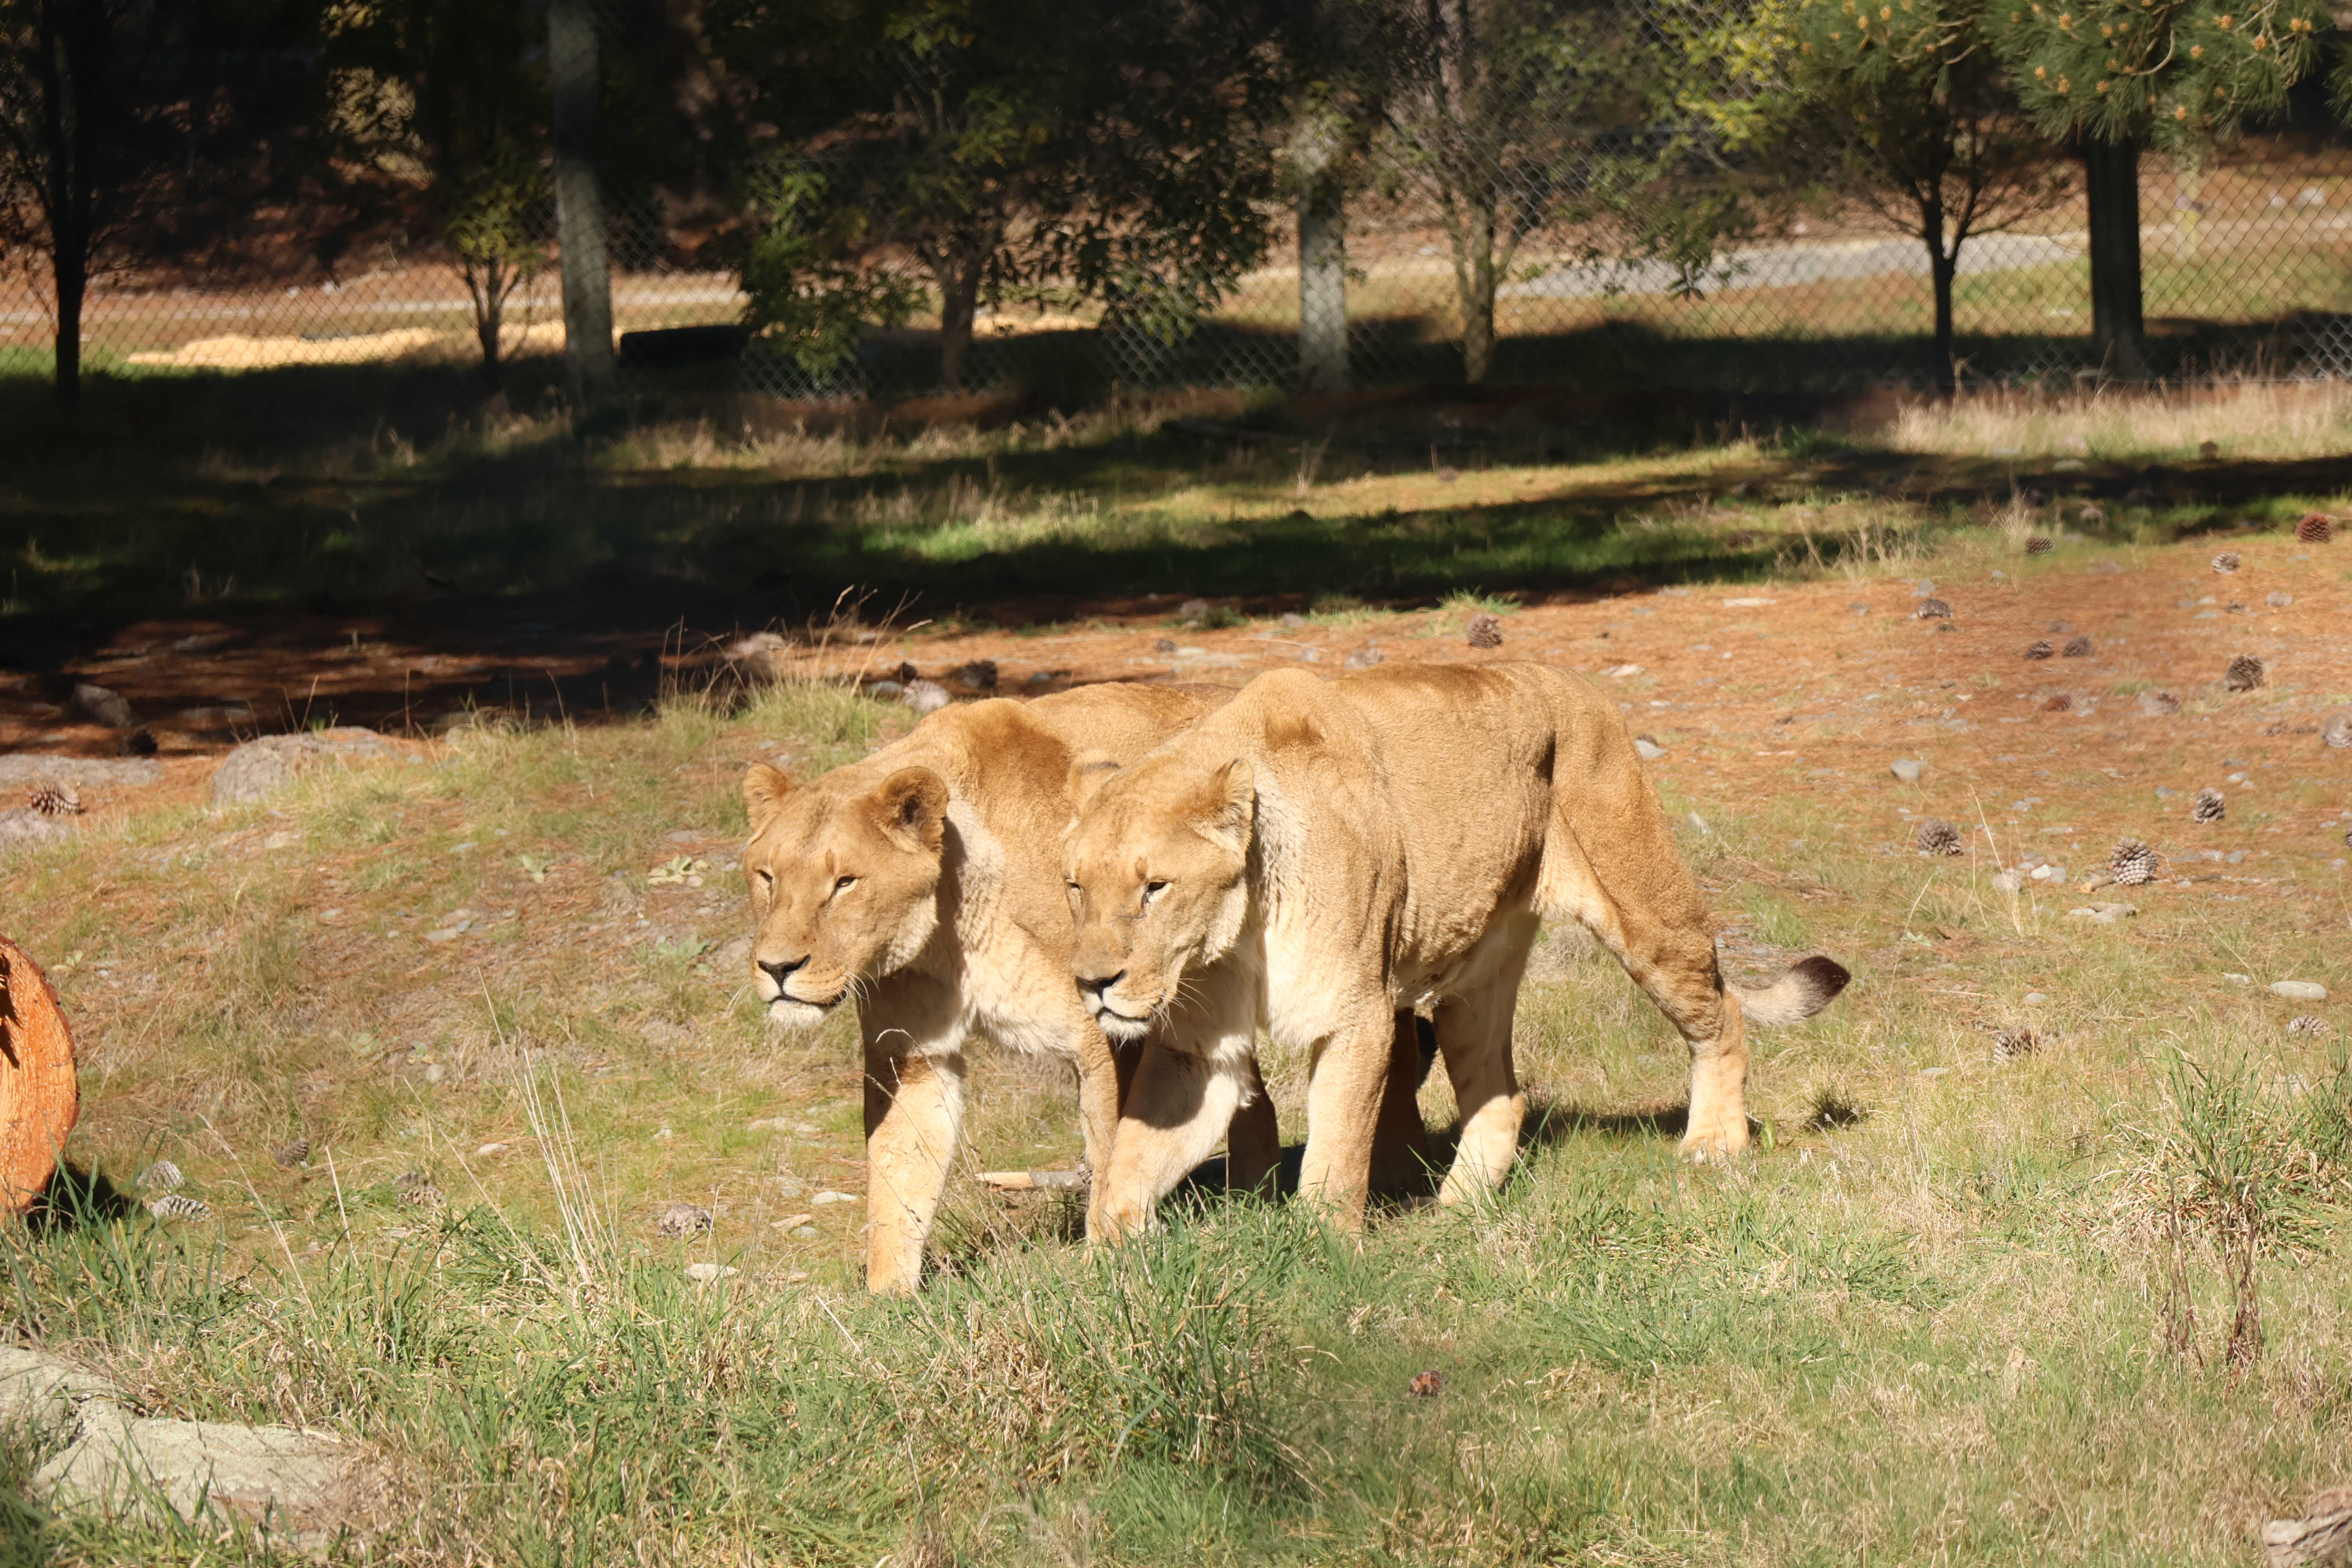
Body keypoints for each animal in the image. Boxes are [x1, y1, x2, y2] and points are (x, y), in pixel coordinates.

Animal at [740, 683, 1423, 1293]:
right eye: (766, 876)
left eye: (844, 883)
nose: (776, 968)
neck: (951, 927)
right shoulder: (912, 1054)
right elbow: (897, 1180)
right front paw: (891, 1307)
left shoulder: (1109, 1037)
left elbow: (1111, 1155)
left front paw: (1107, 1271)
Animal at [1062, 661, 1850, 1240]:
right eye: (1075, 886)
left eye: (1155, 888)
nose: (1092, 983)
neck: (1231, 938)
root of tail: (1579, 684)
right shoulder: (1199, 1051)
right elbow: (1134, 1152)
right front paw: (1109, 1265)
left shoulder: (1356, 1015)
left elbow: (1337, 1152)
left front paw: (1321, 1251)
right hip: (1473, 983)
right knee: (1503, 1095)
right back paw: (1458, 1206)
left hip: (1647, 909)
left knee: (1723, 1014)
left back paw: (1714, 1145)